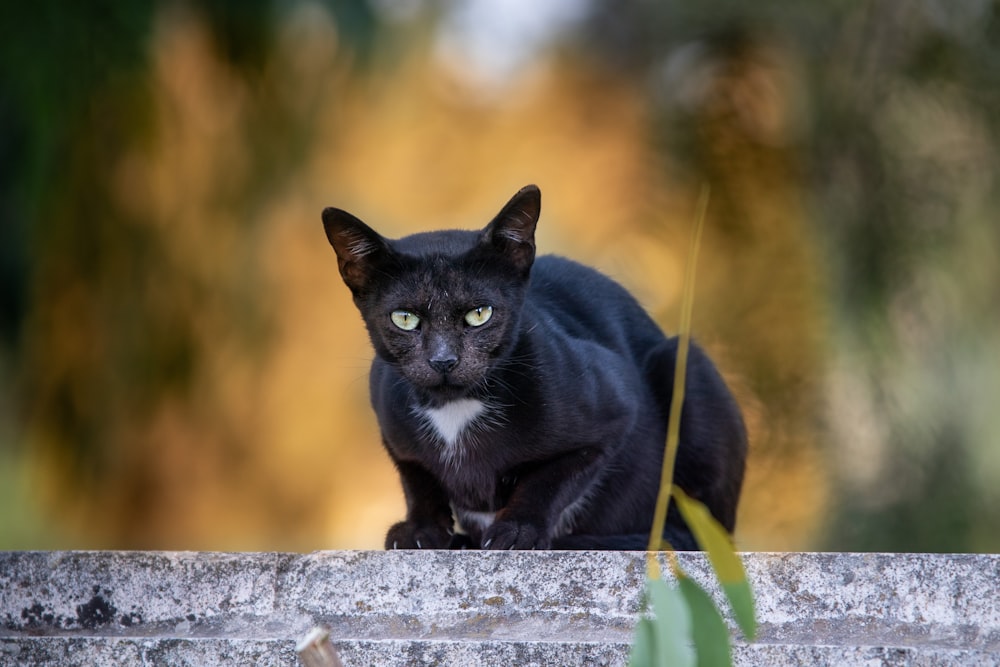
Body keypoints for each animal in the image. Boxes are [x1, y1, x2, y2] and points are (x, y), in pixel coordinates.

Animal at [320, 185, 744, 552]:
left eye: (480, 314)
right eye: (404, 319)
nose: (443, 360)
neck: (455, 410)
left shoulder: (616, 409)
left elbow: (548, 480)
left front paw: (518, 530)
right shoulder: (393, 430)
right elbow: (418, 479)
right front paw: (420, 530)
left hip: (684, 366)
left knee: (696, 532)